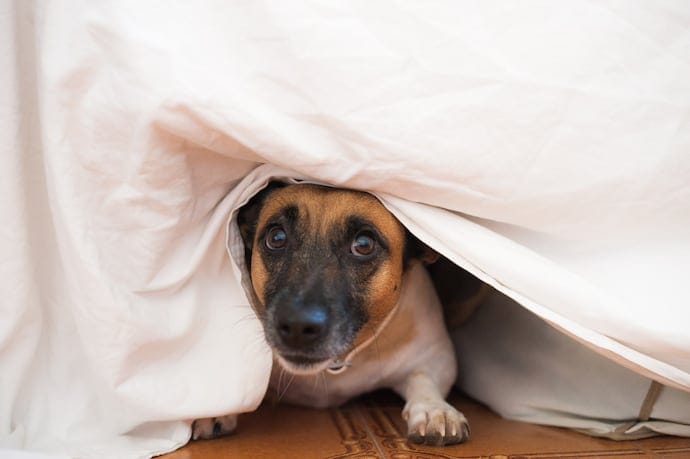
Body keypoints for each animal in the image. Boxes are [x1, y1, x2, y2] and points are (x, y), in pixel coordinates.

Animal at [194, 182, 472, 446]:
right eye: (277, 237)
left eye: (364, 245)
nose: (297, 326)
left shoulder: (435, 355)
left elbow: (423, 378)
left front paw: (434, 409)